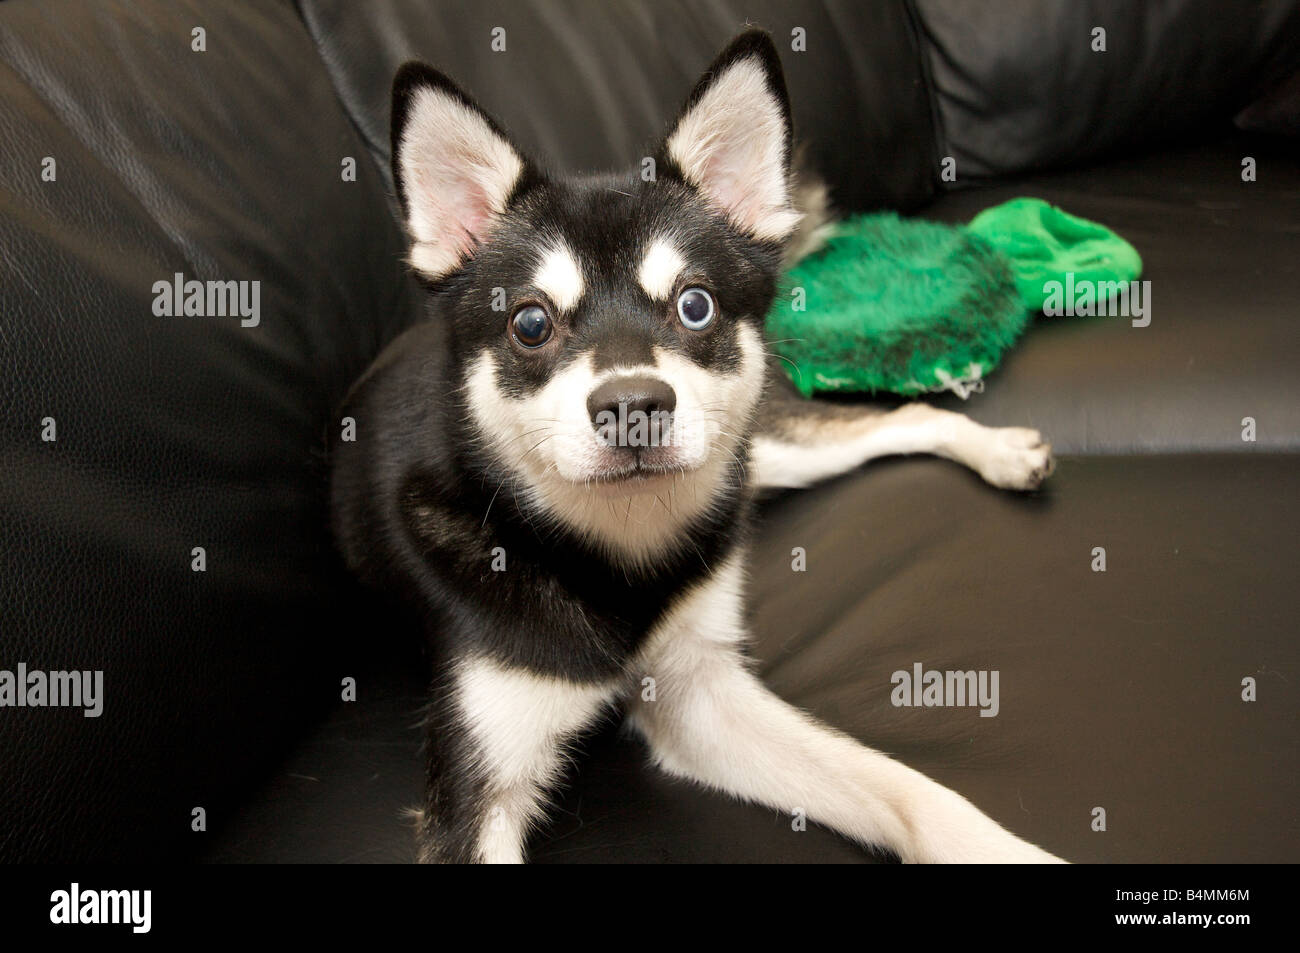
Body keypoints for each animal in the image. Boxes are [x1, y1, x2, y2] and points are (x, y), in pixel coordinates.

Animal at [330, 29, 1060, 863]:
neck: (613, 549)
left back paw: (998, 450)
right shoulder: (475, 790)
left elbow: (905, 785)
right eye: (530, 322)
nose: (633, 408)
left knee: (898, 415)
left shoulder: (699, 691)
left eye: (696, 305)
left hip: (758, 449)